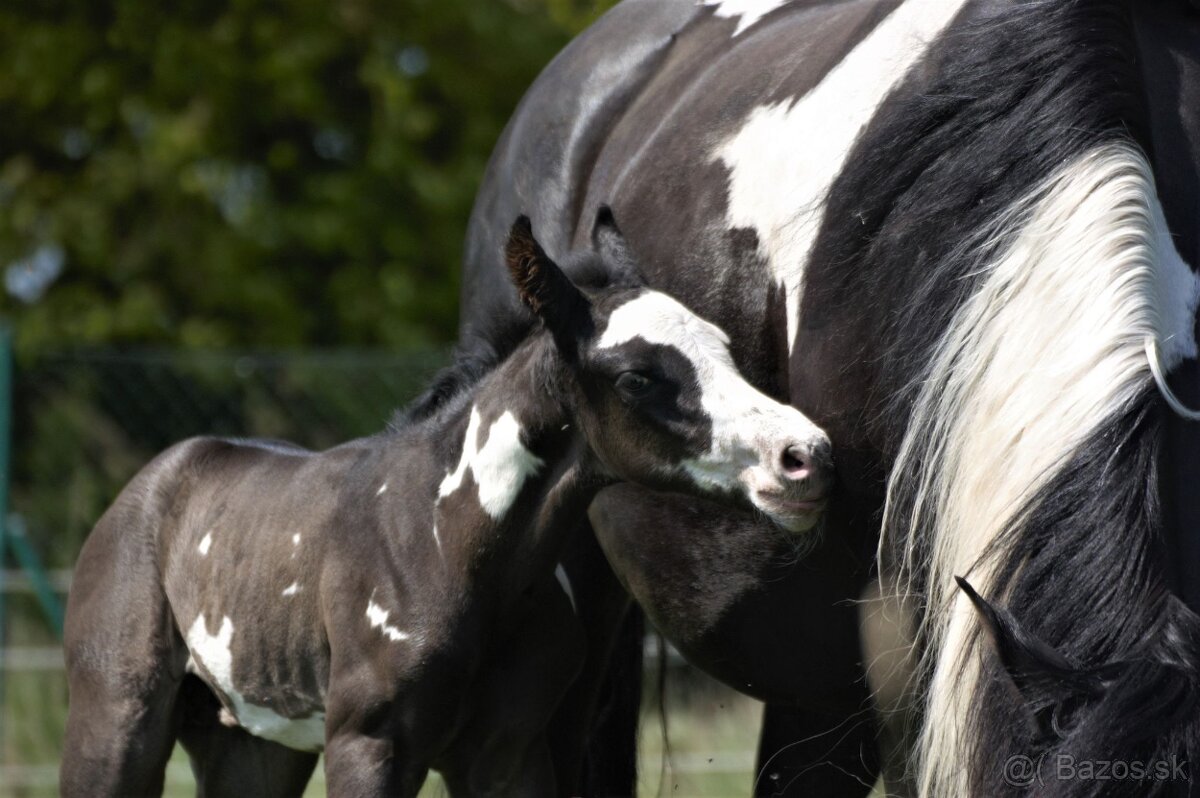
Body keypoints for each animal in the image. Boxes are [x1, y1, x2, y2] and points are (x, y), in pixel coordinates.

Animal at [60, 210, 834, 797]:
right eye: (638, 376)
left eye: (726, 350)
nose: (806, 457)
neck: (449, 545)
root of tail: (147, 486)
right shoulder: (367, 746)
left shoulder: (508, 755)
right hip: (115, 727)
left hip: (252, 747)